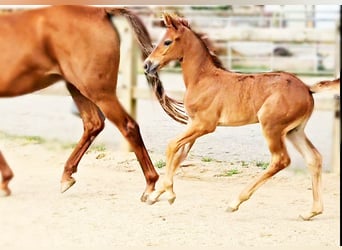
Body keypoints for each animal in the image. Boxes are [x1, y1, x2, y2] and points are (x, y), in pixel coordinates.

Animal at [0, 5, 187, 201]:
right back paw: (67, 176)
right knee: (93, 123)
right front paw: (5, 180)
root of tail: (101, 11)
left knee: (127, 126)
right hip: (77, 87)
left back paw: (150, 186)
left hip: (98, 92)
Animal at [144, 12, 340, 220]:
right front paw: (154, 196)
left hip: (272, 127)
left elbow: (171, 146)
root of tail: (307, 88)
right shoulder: (193, 124)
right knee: (314, 158)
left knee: (281, 160)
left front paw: (169, 193)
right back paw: (312, 211)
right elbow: (179, 155)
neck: (202, 78)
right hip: (294, 131)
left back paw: (235, 202)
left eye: (167, 41)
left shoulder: (205, 125)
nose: (147, 65)